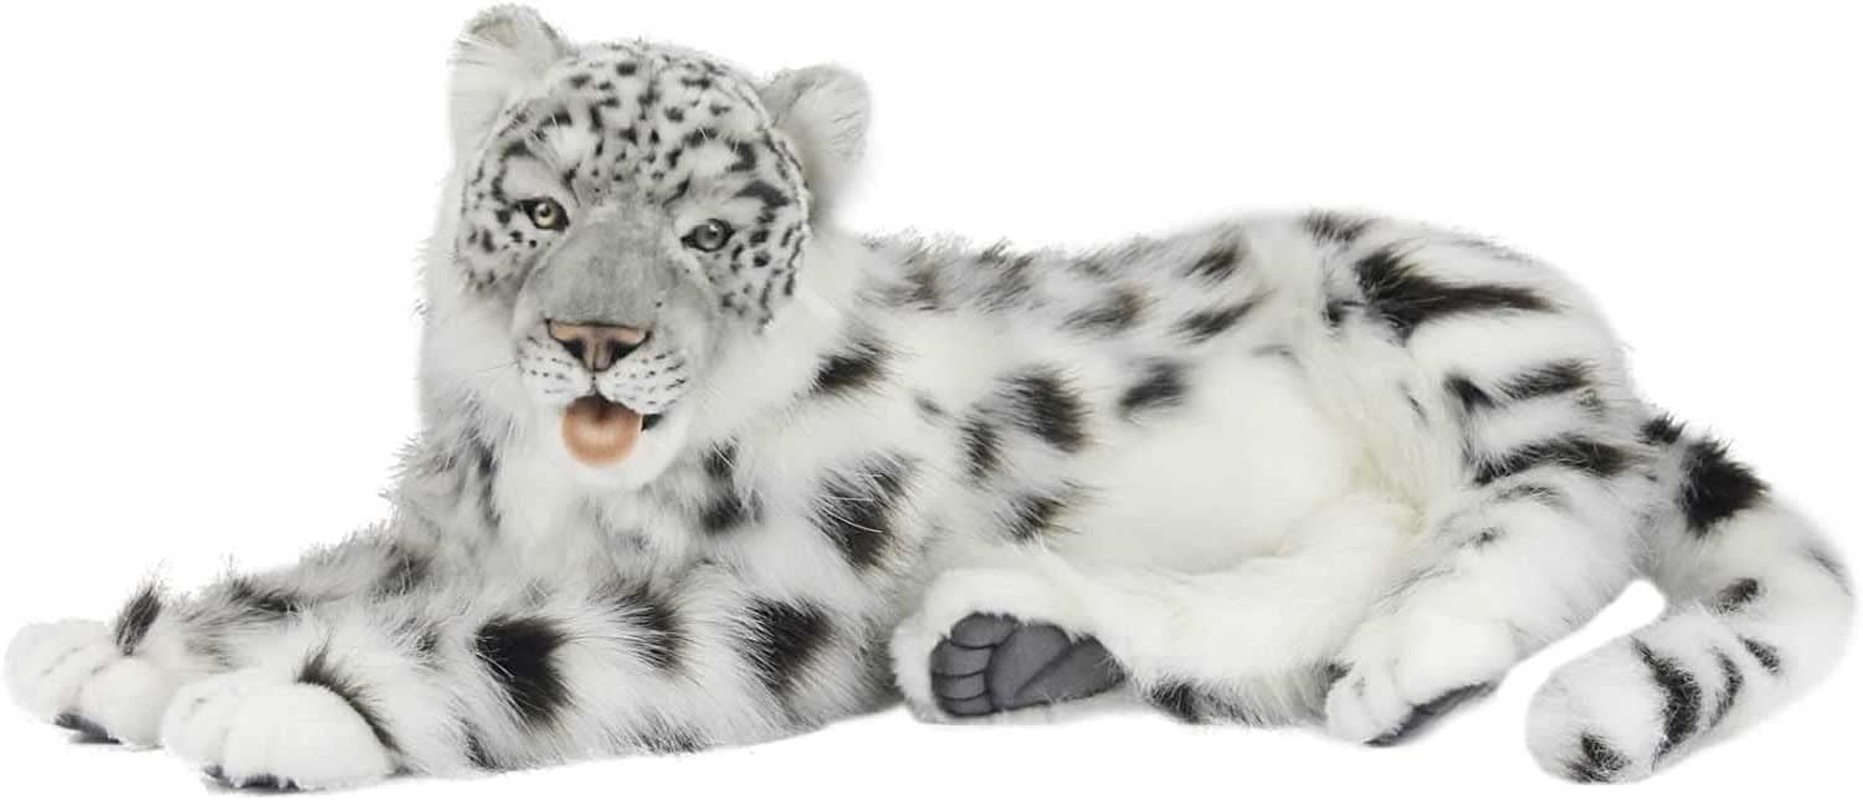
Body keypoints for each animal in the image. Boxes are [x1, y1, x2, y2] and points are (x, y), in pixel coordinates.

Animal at [5, 6, 1850, 790]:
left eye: (704, 228)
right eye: (539, 203)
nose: (594, 339)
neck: (553, 492)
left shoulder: (770, 603)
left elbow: (513, 653)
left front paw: (270, 708)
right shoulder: (444, 533)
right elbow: (308, 580)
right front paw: (110, 654)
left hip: (1441, 306)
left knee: (1547, 497)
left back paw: (1428, 651)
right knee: (1297, 604)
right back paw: (1013, 645)